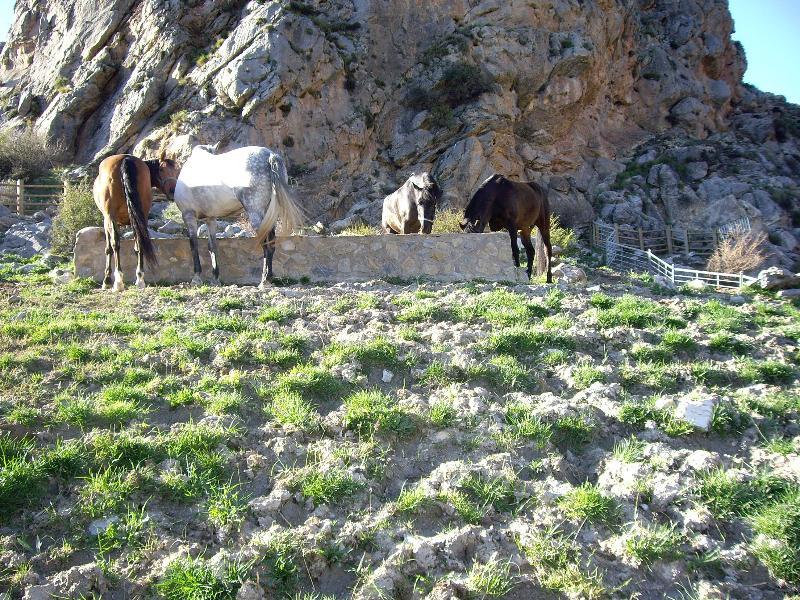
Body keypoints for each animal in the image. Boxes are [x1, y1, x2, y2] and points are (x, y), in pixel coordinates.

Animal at [94, 151, 180, 290]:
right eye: (161, 169)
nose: (173, 192)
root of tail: (126, 159)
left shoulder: (106, 220)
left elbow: (108, 248)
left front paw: (106, 280)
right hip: (141, 216)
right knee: (140, 242)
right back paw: (140, 279)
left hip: (111, 217)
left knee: (116, 244)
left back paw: (119, 281)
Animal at [174, 144, 304, 288]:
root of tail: (269, 155)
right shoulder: (210, 219)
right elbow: (212, 247)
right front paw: (215, 279)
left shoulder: (188, 215)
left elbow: (194, 245)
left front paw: (196, 278)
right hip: (269, 215)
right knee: (271, 242)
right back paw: (267, 278)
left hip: (255, 213)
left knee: (266, 245)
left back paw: (264, 281)